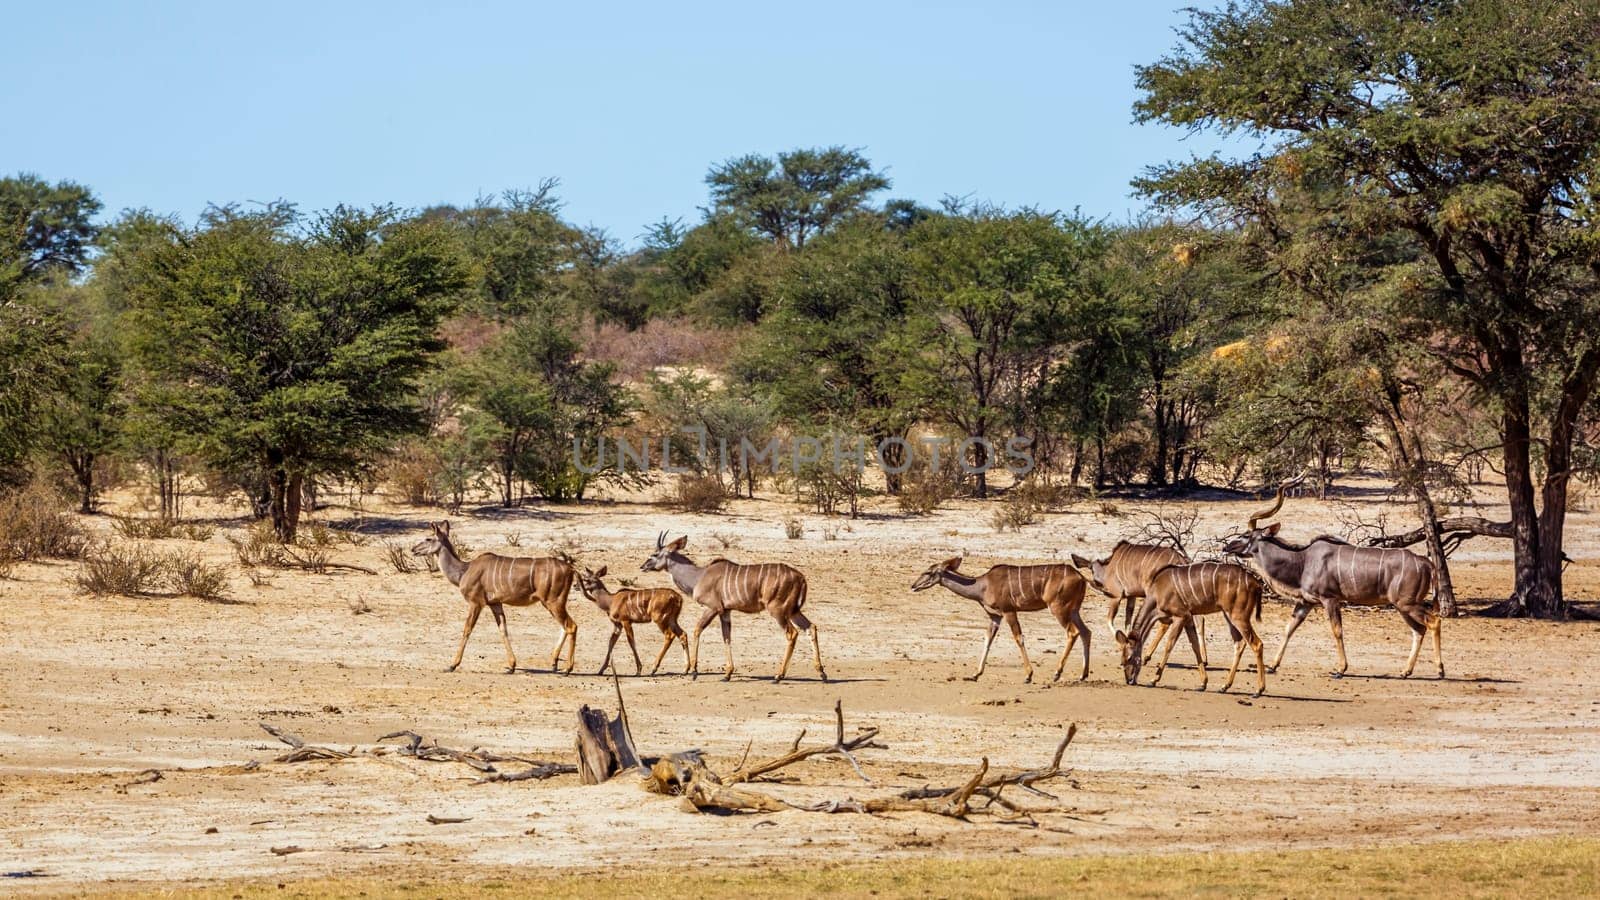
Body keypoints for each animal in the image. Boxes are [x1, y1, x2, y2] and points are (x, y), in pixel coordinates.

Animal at [412, 518, 582, 672]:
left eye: (428, 538)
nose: (413, 549)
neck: (464, 571)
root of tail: (570, 569)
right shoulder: (495, 603)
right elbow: (503, 629)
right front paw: (511, 666)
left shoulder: (476, 603)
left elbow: (467, 629)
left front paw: (452, 665)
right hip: (552, 602)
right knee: (565, 626)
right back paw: (554, 663)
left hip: (553, 601)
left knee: (571, 626)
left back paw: (567, 668)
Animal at [636, 531, 825, 679]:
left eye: (655, 555)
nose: (643, 566)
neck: (699, 576)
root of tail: (801, 578)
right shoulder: (725, 611)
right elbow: (726, 637)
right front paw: (727, 673)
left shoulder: (713, 608)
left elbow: (697, 630)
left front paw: (695, 671)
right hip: (793, 611)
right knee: (811, 627)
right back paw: (821, 673)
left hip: (778, 610)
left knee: (792, 633)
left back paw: (779, 676)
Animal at [915, 554, 1088, 679]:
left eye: (928, 572)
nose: (913, 586)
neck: (982, 586)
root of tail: (1081, 577)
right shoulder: (995, 616)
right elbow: (988, 639)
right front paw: (975, 674)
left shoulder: (1008, 611)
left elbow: (1018, 638)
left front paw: (1029, 675)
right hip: (1074, 610)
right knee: (1086, 632)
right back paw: (1082, 675)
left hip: (1058, 608)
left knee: (1073, 632)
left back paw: (1057, 673)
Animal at [1113, 560, 1260, 695]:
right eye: (1121, 661)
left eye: (1129, 658)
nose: (1129, 680)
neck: (1157, 591)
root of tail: (1255, 582)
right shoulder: (1189, 618)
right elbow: (1195, 646)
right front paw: (1202, 684)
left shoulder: (1180, 616)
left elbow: (1169, 646)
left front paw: (1153, 680)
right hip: (1228, 614)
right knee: (1240, 643)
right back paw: (1224, 686)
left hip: (1238, 615)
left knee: (1256, 643)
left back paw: (1258, 690)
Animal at [1222, 477, 1452, 672]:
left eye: (1245, 535)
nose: (1226, 547)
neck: (1303, 561)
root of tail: (1425, 562)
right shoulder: (1306, 602)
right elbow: (1289, 628)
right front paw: (1272, 665)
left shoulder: (1330, 600)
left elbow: (1337, 630)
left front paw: (1341, 669)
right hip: (1402, 606)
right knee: (1419, 630)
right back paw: (1406, 671)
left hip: (1407, 604)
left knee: (1434, 622)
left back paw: (1440, 669)